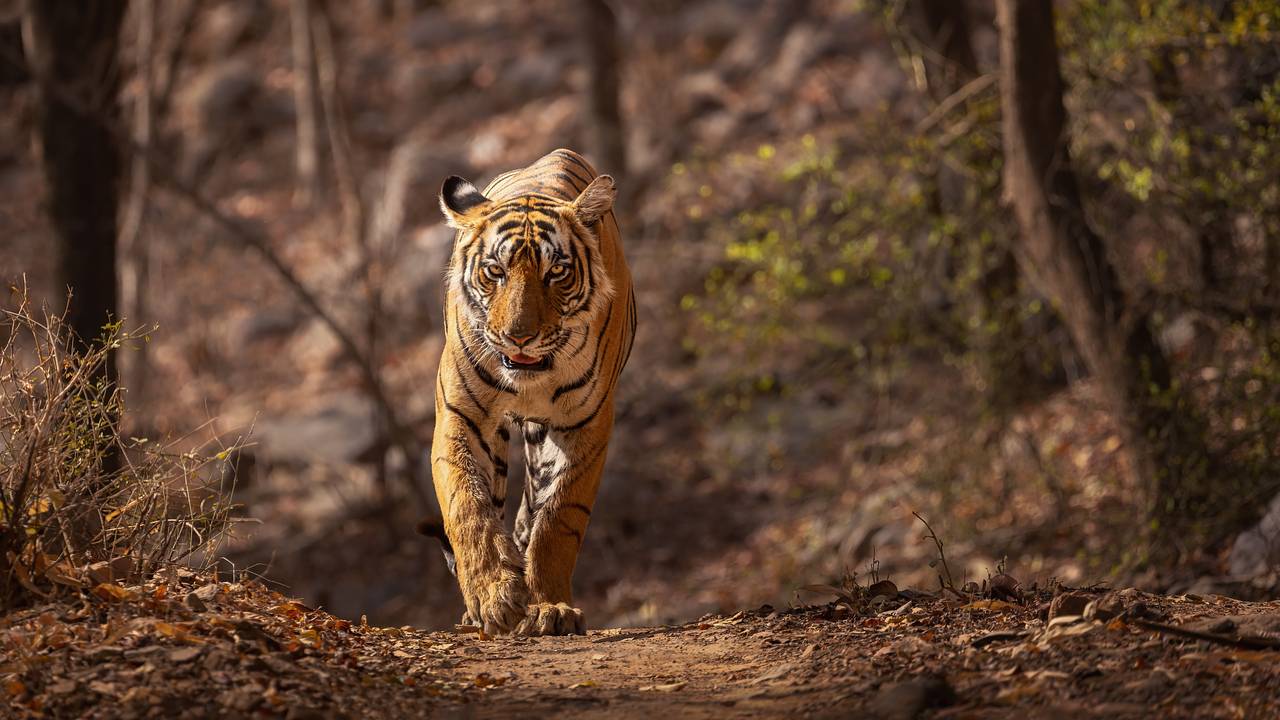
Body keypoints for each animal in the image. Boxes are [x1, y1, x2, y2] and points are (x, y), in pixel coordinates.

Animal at [422, 148, 635, 637]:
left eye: (555, 272)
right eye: (494, 272)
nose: (517, 337)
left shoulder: (586, 426)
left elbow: (557, 520)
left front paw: (549, 608)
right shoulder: (462, 417)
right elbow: (467, 505)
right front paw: (492, 596)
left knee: (529, 514)